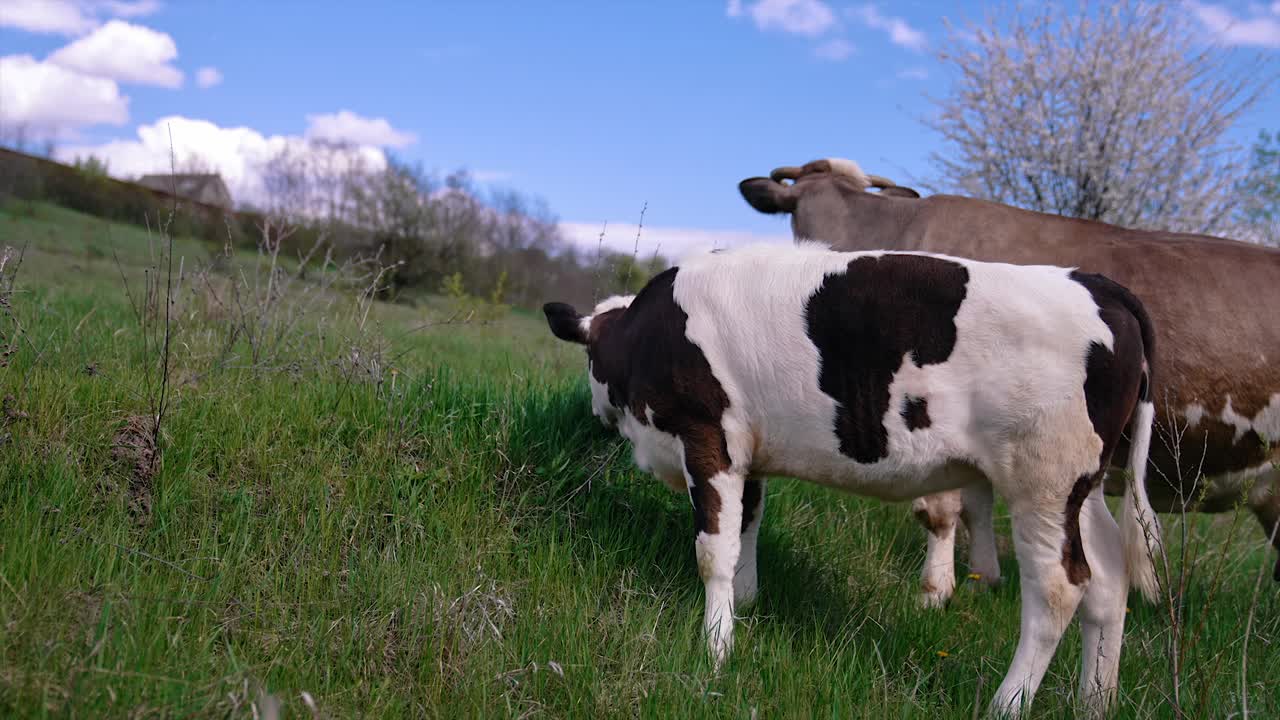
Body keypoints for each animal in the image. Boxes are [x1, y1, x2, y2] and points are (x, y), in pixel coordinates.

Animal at [545, 240, 1167, 712]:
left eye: (589, 361)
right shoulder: (750, 454)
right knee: (1108, 578)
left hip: (1043, 481)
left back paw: (1005, 705)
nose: (594, 412)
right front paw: (747, 608)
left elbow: (713, 552)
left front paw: (716, 649)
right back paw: (1095, 702)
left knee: (1059, 588)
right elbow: (748, 526)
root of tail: (1098, 285)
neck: (648, 332)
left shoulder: (707, 440)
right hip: (1081, 487)